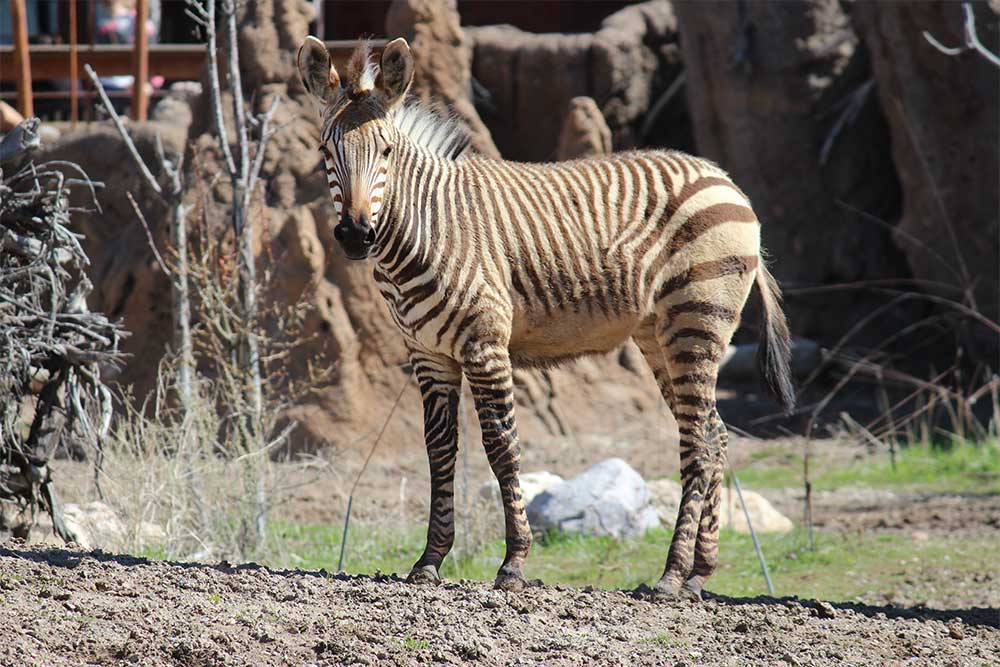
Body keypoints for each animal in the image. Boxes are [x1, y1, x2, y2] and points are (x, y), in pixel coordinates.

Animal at [292, 36, 792, 600]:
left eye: (387, 153)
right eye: (325, 152)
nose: (356, 236)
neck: (427, 228)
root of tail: (724, 180)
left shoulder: (484, 345)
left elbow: (501, 448)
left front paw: (512, 564)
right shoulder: (427, 354)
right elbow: (439, 450)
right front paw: (430, 561)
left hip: (697, 319)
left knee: (701, 442)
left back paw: (670, 575)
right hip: (659, 334)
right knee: (714, 432)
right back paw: (698, 573)